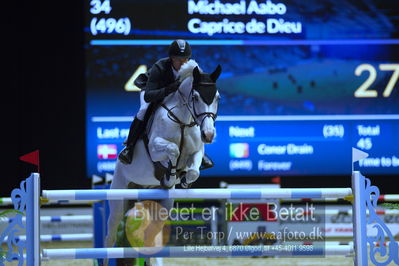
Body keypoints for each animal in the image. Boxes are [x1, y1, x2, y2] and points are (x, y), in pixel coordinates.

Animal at [103, 60, 222, 266]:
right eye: (196, 97)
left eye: (217, 98)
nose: (208, 135)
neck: (183, 121)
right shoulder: (156, 147)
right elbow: (173, 150)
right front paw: (170, 175)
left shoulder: (197, 152)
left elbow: (194, 170)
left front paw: (184, 179)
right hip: (119, 201)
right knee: (109, 238)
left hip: (161, 205)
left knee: (150, 235)